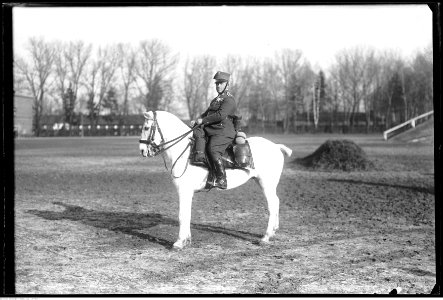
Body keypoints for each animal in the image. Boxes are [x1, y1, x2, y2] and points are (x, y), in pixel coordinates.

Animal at [139, 111, 292, 250]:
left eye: (146, 128)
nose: (142, 150)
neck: (185, 152)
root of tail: (276, 146)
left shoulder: (184, 191)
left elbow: (182, 215)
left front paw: (179, 242)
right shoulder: (187, 192)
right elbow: (187, 215)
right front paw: (187, 240)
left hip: (267, 184)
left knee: (273, 204)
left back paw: (266, 237)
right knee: (276, 202)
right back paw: (273, 231)